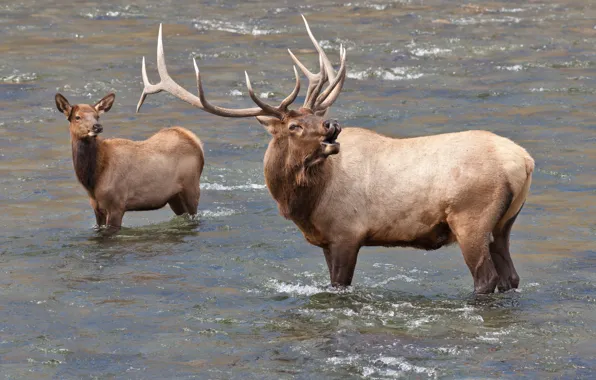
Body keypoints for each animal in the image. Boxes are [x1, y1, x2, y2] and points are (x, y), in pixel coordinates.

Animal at [56, 92, 205, 235]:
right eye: (77, 117)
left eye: (97, 116)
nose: (97, 126)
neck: (93, 180)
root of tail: (195, 140)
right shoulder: (96, 208)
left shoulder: (117, 204)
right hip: (174, 197)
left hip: (191, 187)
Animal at [136, 18, 536, 294]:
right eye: (296, 125)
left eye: (317, 116)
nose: (333, 126)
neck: (306, 204)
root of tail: (524, 161)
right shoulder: (329, 240)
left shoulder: (348, 232)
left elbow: (339, 285)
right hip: (504, 224)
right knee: (511, 277)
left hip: (471, 218)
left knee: (486, 278)